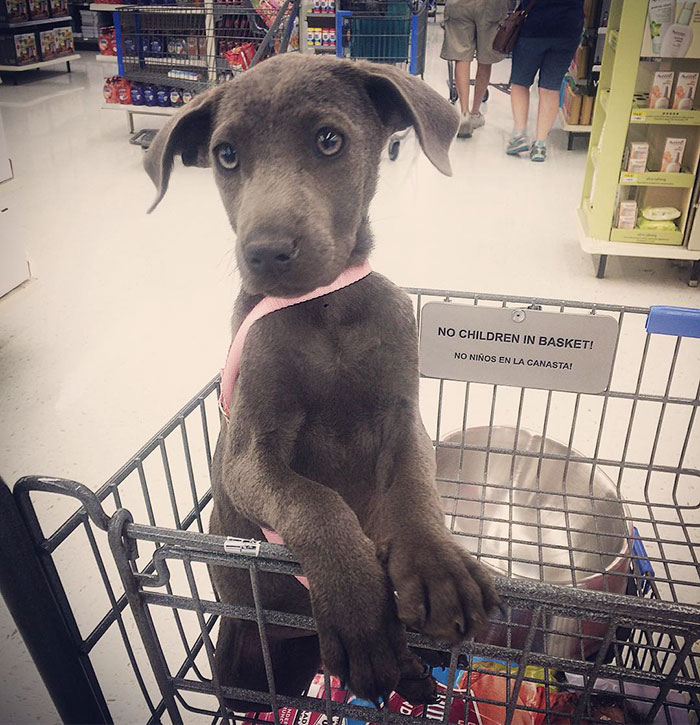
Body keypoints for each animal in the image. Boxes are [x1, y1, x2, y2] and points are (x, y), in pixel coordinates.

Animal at [146, 53, 498, 708]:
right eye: (226, 154)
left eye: (329, 140)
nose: (266, 251)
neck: (323, 310)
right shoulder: (247, 455)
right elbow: (313, 499)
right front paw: (360, 608)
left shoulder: (404, 419)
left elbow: (415, 488)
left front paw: (435, 563)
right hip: (237, 652)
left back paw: (412, 671)